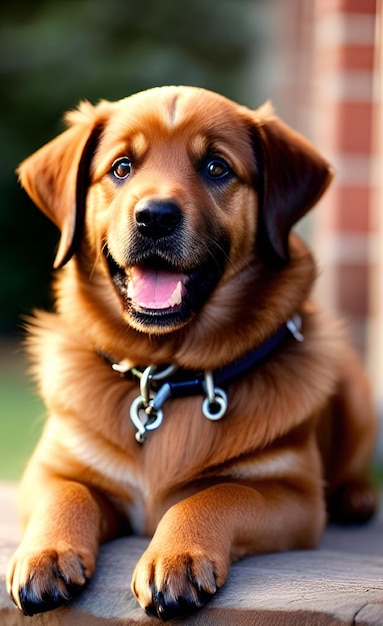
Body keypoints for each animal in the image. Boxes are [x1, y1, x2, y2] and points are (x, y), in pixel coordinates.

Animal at [6, 86, 378, 620]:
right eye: (121, 166)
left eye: (216, 168)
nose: (154, 217)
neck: (165, 376)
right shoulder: (53, 466)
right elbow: (66, 492)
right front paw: (46, 554)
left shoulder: (295, 496)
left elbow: (217, 494)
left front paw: (177, 556)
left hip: (357, 395)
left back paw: (356, 496)